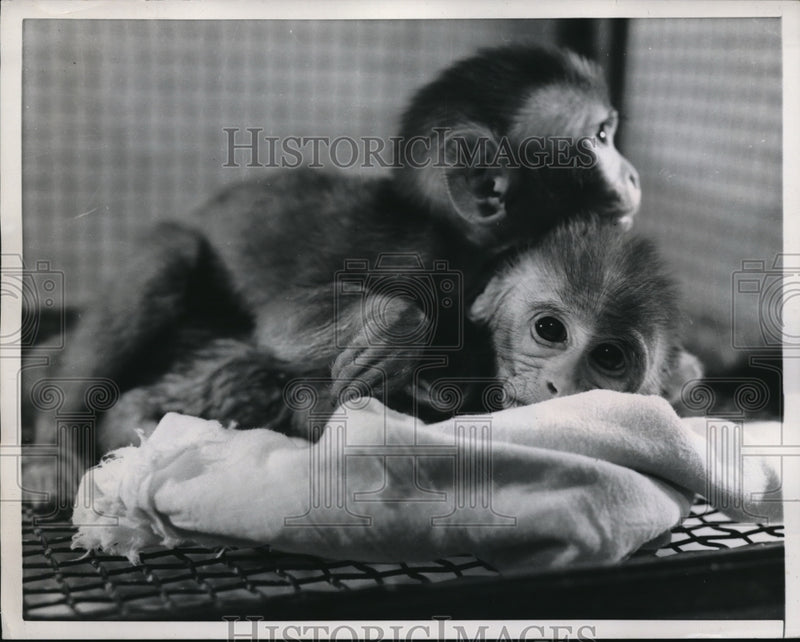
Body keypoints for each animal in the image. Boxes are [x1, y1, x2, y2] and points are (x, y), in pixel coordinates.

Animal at [25, 43, 641, 507]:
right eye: (599, 137)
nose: (633, 174)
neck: (463, 245)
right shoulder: (417, 256)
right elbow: (282, 324)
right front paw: (392, 334)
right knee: (167, 260)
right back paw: (58, 448)